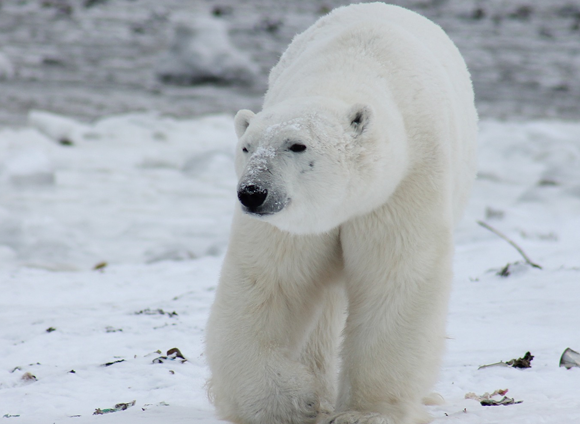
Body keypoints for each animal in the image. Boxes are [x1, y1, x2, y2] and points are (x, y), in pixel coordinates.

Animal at [204, 3, 476, 424]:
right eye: (247, 147)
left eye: (297, 145)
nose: (252, 193)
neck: (348, 70)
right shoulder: (293, 224)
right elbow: (270, 283)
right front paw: (290, 400)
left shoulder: (404, 184)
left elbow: (395, 278)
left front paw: (365, 412)